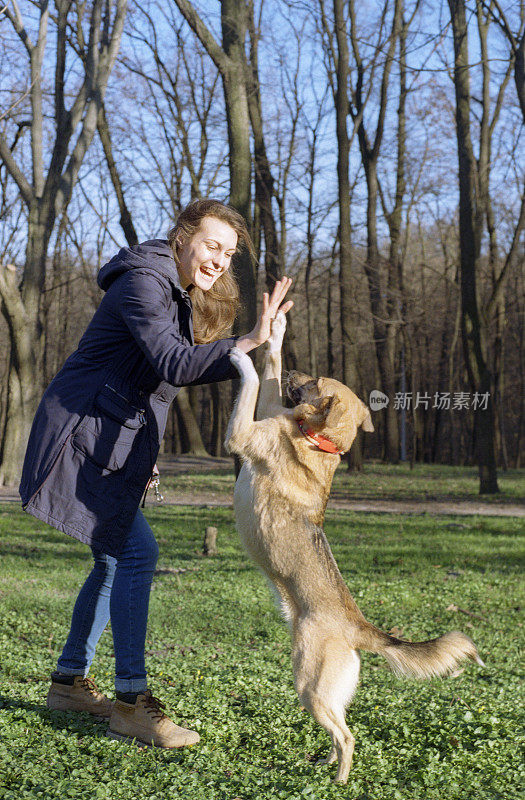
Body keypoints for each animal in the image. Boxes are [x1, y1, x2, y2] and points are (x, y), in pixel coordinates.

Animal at [225, 310, 484, 780]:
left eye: (315, 381)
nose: (294, 371)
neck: (320, 441)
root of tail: (359, 628)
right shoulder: (270, 409)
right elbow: (267, 374)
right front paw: (275, 330)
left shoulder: (243, 433)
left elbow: (253, 378)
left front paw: (242, 355)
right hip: (323, 692)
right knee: (339, 731)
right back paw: (325, 763)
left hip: (308, 684)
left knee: (348, 737)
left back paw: (339, 780)